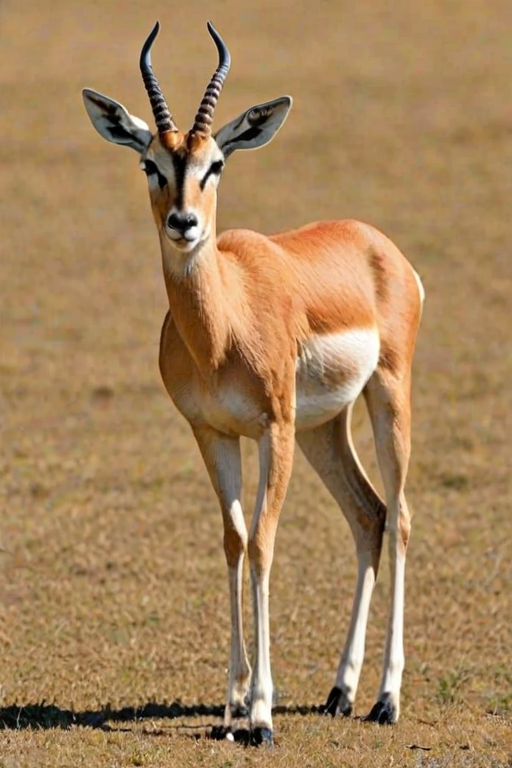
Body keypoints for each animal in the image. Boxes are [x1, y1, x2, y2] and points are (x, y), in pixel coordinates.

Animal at [82, 21, 424, 746]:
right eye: (150, 164)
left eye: (216, 164)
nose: (184, 224)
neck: (222, 325)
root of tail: (379, 246)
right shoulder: (212, 432)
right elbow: (234, 541)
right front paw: (232, 706)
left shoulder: (272, 428)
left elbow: (265, 542)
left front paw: (262, 713)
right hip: (324, 427)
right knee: (368, 513)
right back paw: (339, 691)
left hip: (384, 399)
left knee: (402, 515)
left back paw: (385, 699)